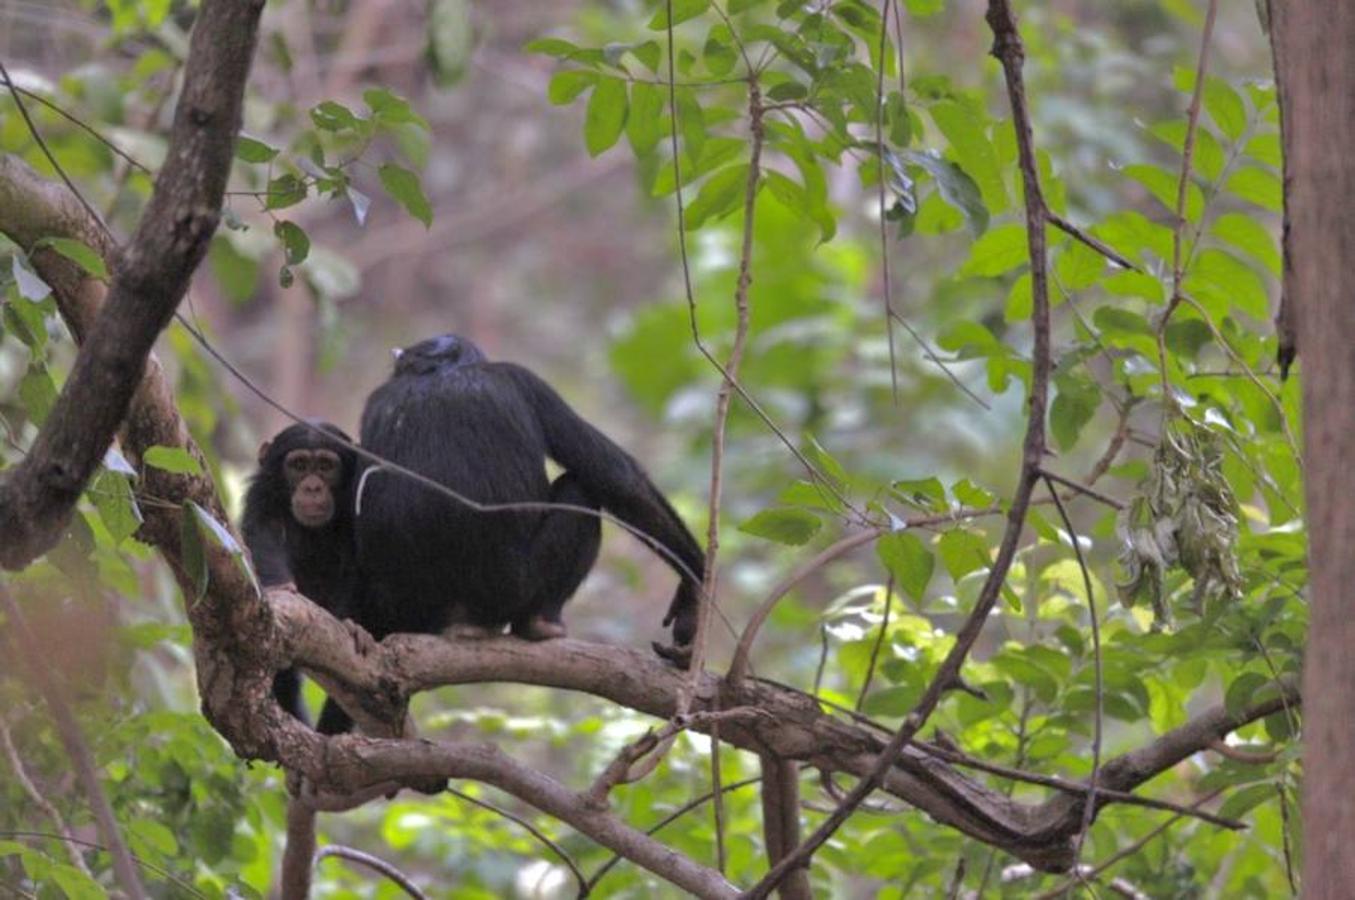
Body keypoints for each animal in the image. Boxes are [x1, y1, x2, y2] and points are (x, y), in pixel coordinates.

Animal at [241, 422, 360, 731]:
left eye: (326, 466)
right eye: (299, 465)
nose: (313, 486)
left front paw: (349, 623)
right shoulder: (263, 494)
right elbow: (266, 531)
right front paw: (281, 587)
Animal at [349, 333, 710, 658]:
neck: (440, 373)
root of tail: (458, 614)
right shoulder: (528, 382)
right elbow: (621, 479)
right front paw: (694, 588)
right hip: (514, 589)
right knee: (581, 491)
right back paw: (541, 623)